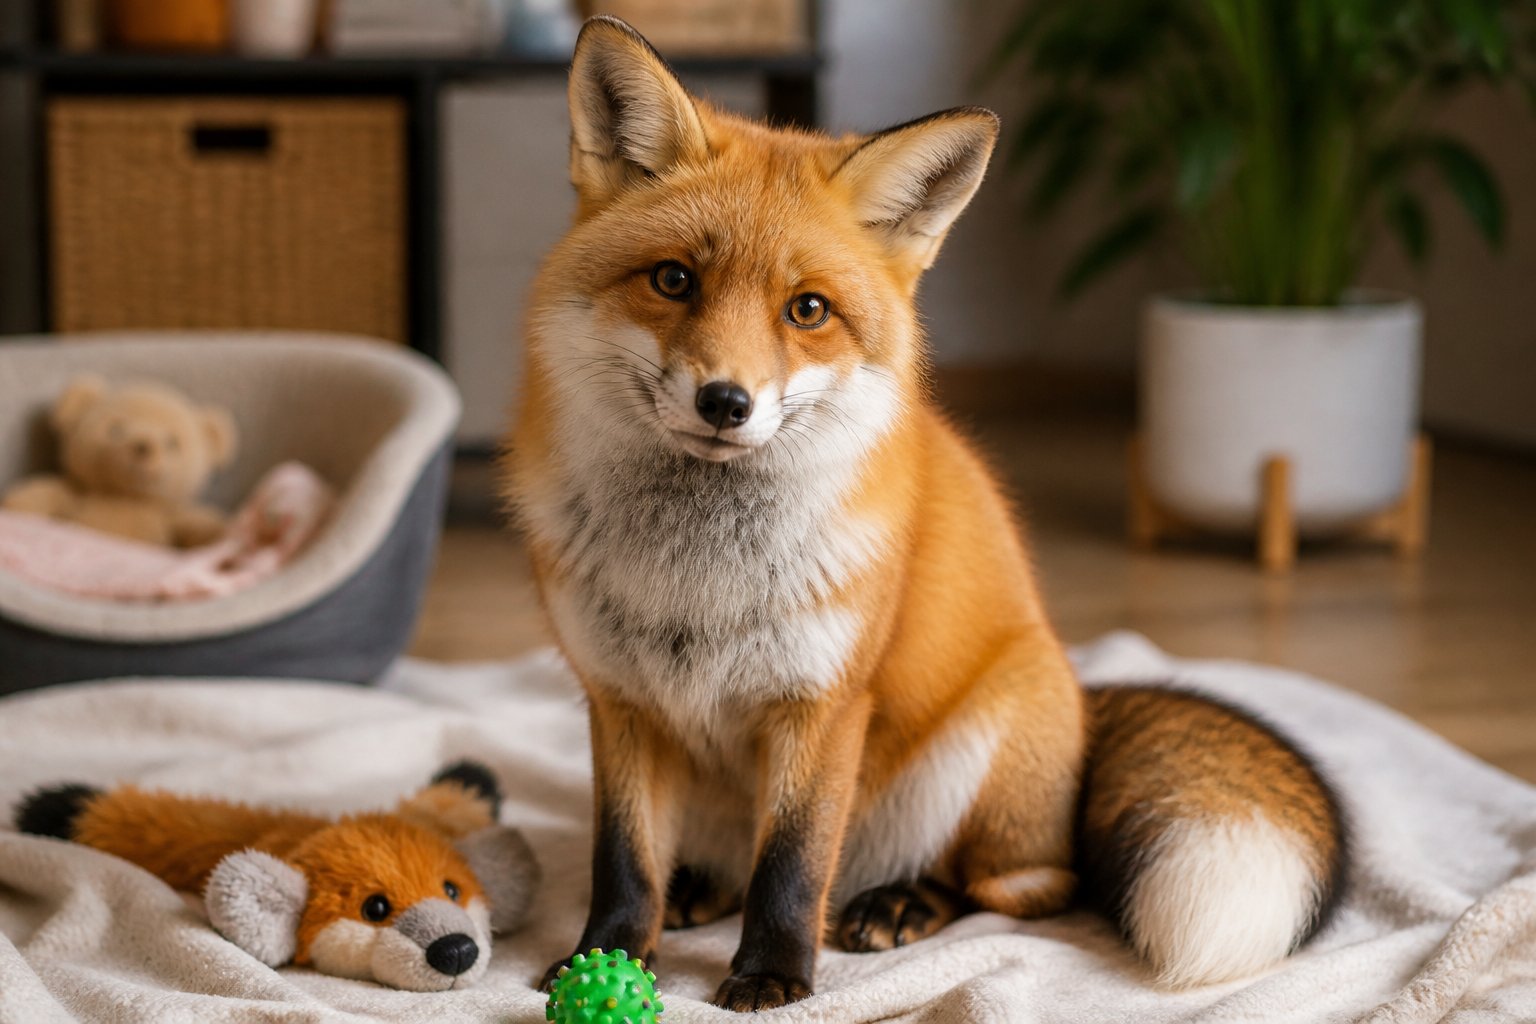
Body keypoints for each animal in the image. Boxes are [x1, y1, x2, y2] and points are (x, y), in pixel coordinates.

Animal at [505, 16, 1348, 1011]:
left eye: (808, 310)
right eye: (673, 281)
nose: (726, 402)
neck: (696, 580)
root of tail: (1083, 703)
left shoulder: (824, 704)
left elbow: (793, 863)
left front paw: (773, 977)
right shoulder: (619, 702)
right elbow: (625, 860)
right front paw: (605, 957)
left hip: (978, 763)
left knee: (1024, 884)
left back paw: (901, 901)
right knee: (725, 867)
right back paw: (698, 891)